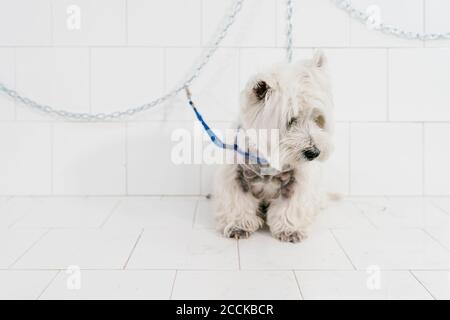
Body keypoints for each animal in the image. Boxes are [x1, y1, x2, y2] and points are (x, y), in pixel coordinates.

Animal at [214, 51, 334, 242]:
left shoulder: (296, 181)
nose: (314, 153)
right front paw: (238, 225)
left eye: (317, 119)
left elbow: (289, 206)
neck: (268, 157)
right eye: (290, 121)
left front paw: (290, 229)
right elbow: (237, 202)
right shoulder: (235, 177)